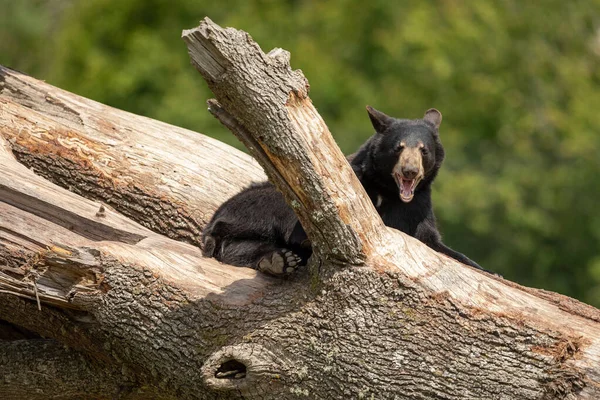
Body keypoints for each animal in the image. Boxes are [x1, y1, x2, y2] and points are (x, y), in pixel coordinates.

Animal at [202, 106, 482, 276]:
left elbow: (434, 241)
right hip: (265, 201)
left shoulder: (418, 207)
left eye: (423, 150)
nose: (410, 171)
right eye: (399, 147)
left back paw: (277, 261)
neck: (389, 191)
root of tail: (214, 220)